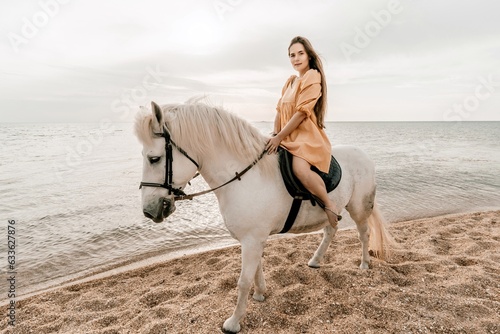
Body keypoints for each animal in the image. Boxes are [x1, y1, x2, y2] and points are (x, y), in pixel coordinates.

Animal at [135, 100, 396, 332]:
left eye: (154, 159)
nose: (149, 210)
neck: (243, 177)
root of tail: (364, 155)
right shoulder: (253, 239)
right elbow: (256, 271)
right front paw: (260, 294)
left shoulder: (252, 240)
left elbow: (243, 281)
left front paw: (233, 323)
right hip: (332, 211)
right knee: (331, 230)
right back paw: (315, 260)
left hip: (358, 208)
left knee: (363, 234)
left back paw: (364, 264)